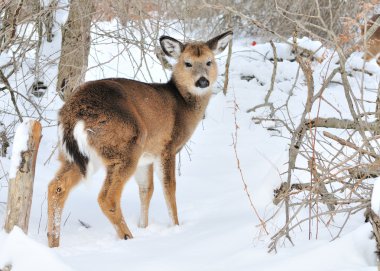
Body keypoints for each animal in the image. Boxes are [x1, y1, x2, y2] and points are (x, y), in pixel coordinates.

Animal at [47, 30, 232, 248]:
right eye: (187, 63)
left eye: (209, 61)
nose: (203, 81)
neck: (183, 105)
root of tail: (73, 114)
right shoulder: (167, 147)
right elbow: (169, 188)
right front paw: (176, 227)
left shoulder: (147, 157)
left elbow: (146, 189)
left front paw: (144, 226)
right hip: (126, 146)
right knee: (107, 197)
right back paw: (127, 237)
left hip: (73, 155)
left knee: (57, 187)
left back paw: (53, 242)